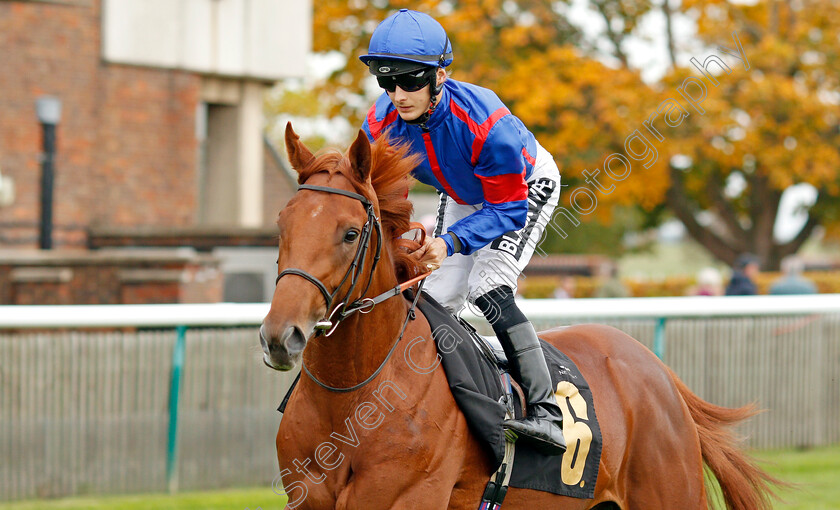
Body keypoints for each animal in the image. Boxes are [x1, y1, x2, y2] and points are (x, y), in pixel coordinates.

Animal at [260, 124, 776, 510]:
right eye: (282, 226)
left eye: (350, 233)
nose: (280, 336)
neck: (354, 396)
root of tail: (658, 371)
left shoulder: (405, 497)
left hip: (671, 492)